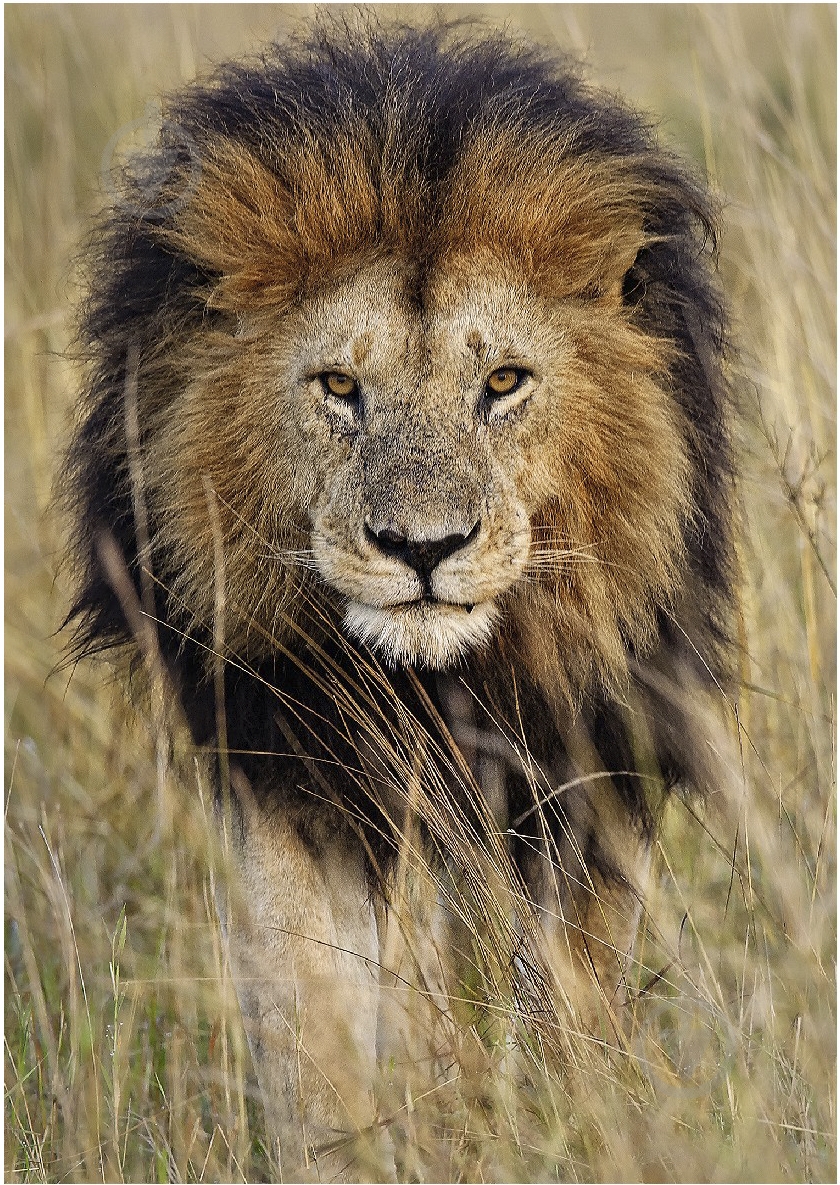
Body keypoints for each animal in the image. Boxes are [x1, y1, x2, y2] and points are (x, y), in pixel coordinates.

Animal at [63, 19, 735, 1182]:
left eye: (504, 383)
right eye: (340, 387)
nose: (422, 549)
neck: (440, 680)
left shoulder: (585, 759)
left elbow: (555, 991)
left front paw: (552, 1123)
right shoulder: (289, 764)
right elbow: (312, 1016)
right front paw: (347, 1147)